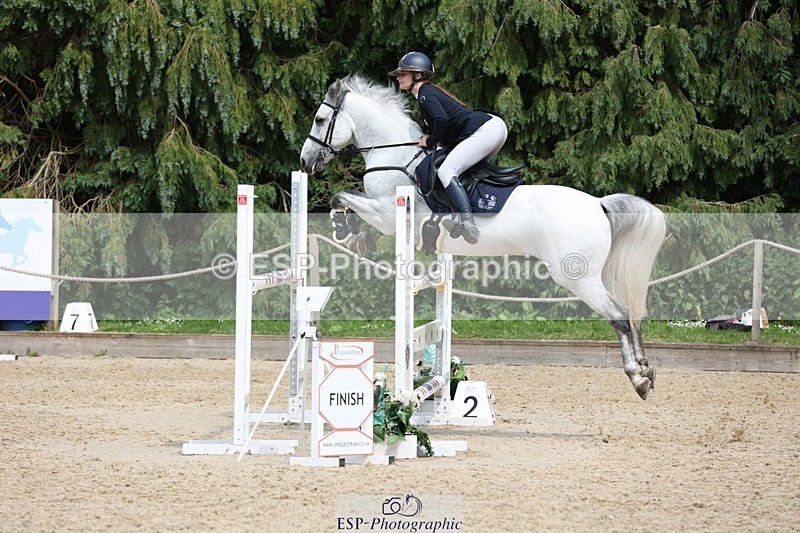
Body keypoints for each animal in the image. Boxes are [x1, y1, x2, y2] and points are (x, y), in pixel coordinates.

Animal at [300, 75, 667, 400]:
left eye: (319, 119)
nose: (305, 161)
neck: (395, 155)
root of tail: (598, 203)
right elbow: (342, 198)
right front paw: (352, 235)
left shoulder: (389, 214)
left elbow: (340, 197)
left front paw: (349, 234)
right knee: (629, 313)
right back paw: (647, 369)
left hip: (577, 275)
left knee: (619, 313)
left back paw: (638, 377)